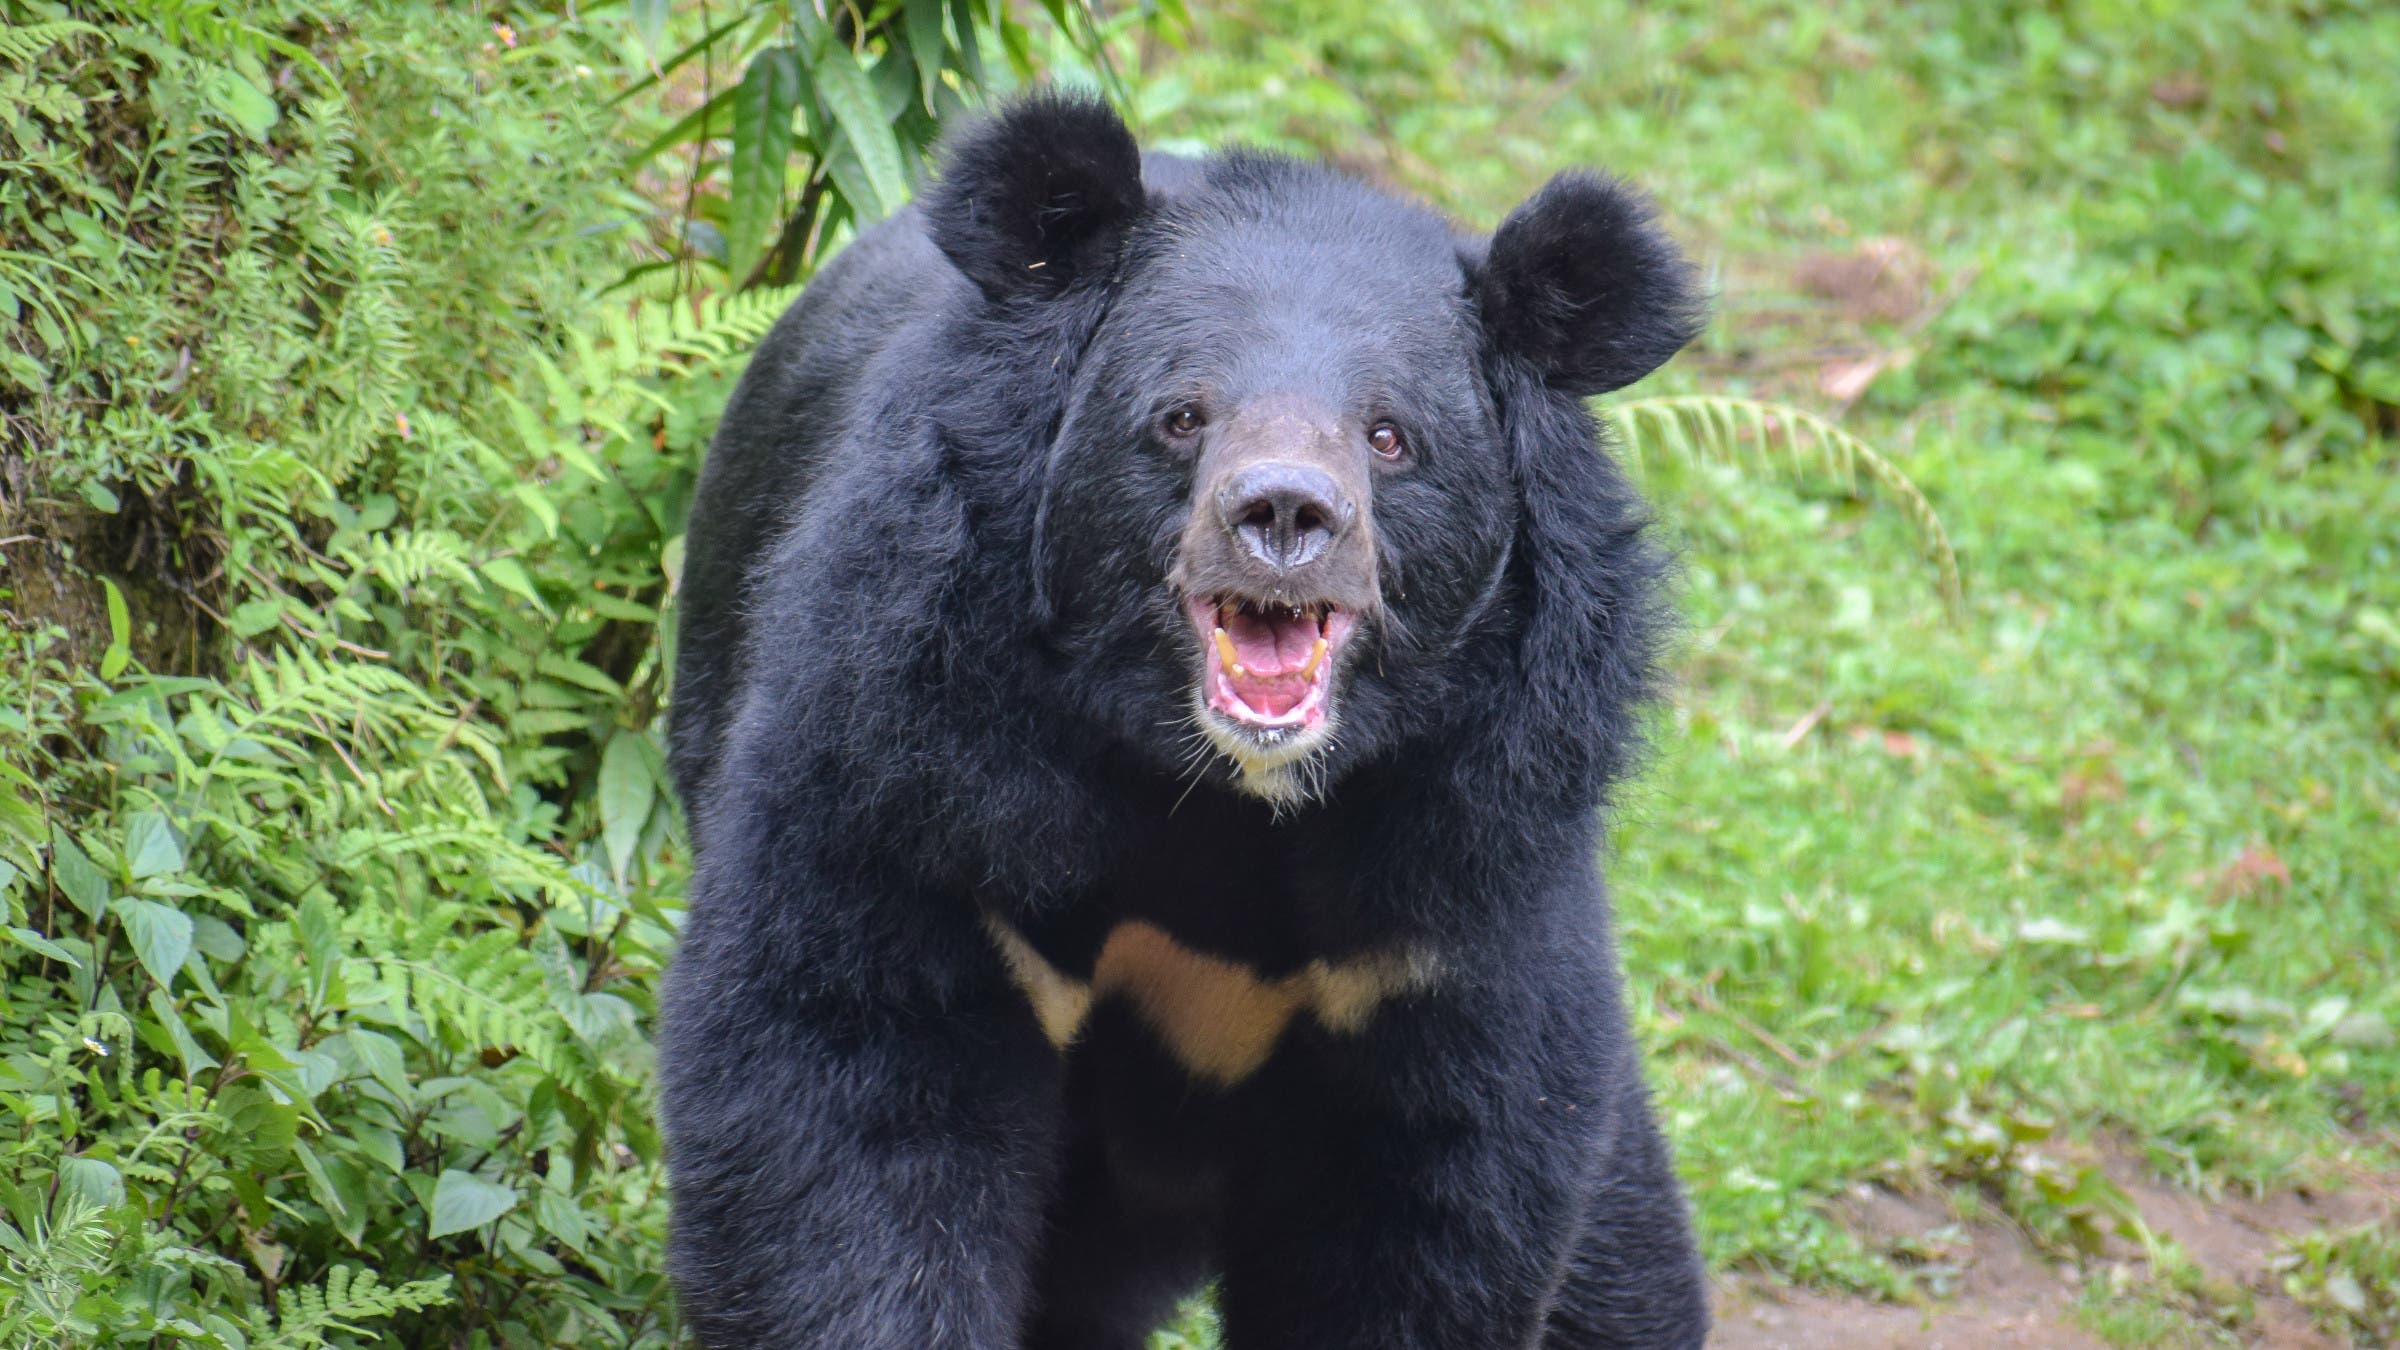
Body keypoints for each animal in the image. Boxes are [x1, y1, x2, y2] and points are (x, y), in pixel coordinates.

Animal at [660, 92, 1709, 1349]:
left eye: (1390, 436)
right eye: (1180, 417)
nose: (1285, 514)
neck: (1221, 797)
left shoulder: (1457, 882)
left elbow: (1433, 1200)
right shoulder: (922, 763)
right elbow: (847, 1089)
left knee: (1624, 1270)